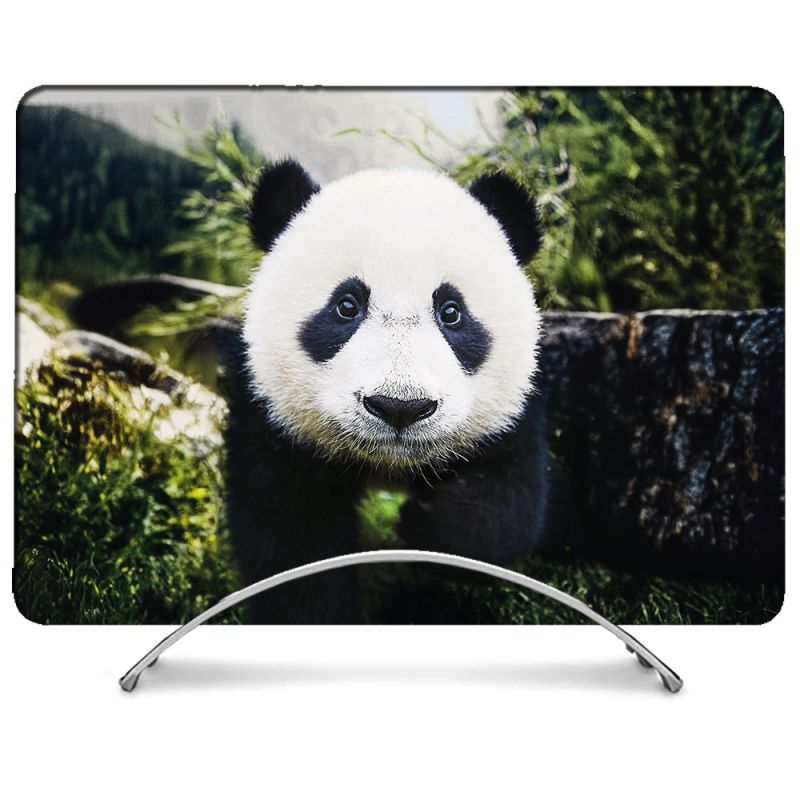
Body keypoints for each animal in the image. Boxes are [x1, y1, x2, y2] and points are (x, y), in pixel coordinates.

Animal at [225, 160, 552, 623]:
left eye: (451, 312)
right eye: (346, 305)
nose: (400, 407)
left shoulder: (511, 414)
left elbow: (504, 508)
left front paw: (426, 523)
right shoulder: (273, 420)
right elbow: (290, 537)